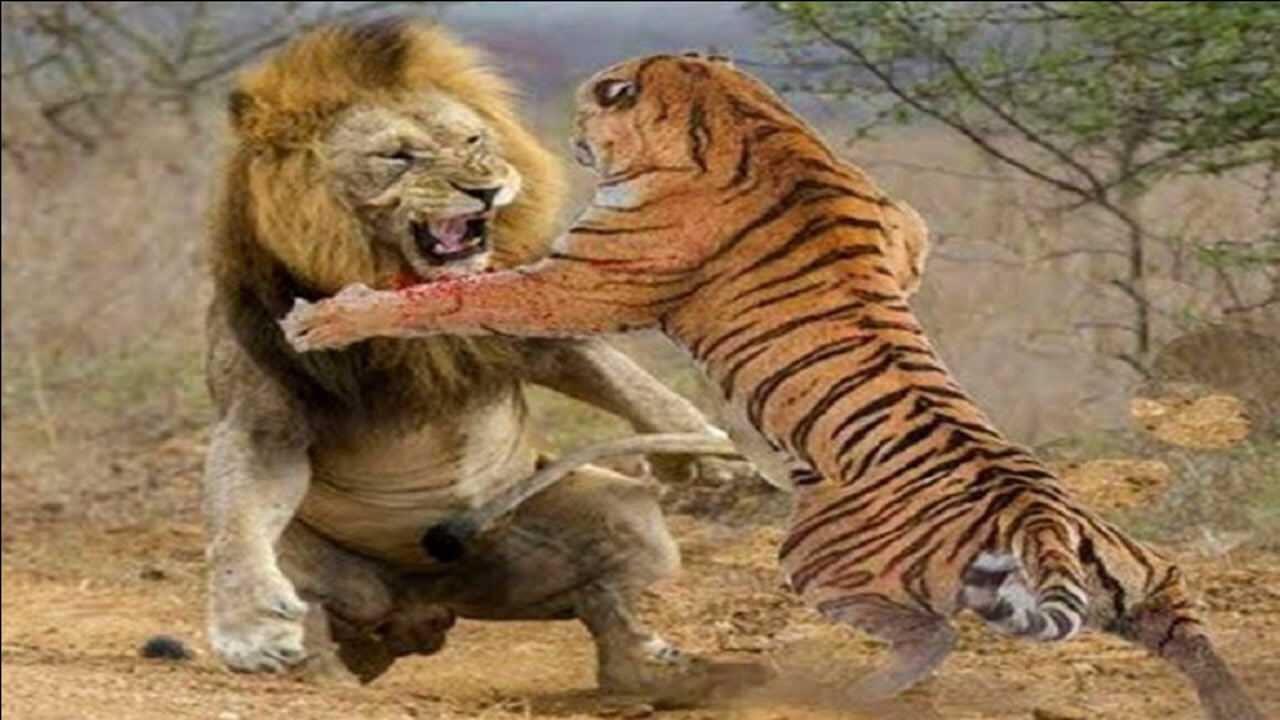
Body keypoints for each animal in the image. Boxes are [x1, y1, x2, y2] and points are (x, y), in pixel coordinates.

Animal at [279, 53, 1265, 719]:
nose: (570, 135)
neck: (738, 109)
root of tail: (1044, 520)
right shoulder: (905, 225)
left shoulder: (581, 282)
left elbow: (454, 296)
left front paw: (327, 318)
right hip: (1150, 583)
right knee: (1191, 632)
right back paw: (1237, 704)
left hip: (818, 555)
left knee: (932, 632)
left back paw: (851, 691)